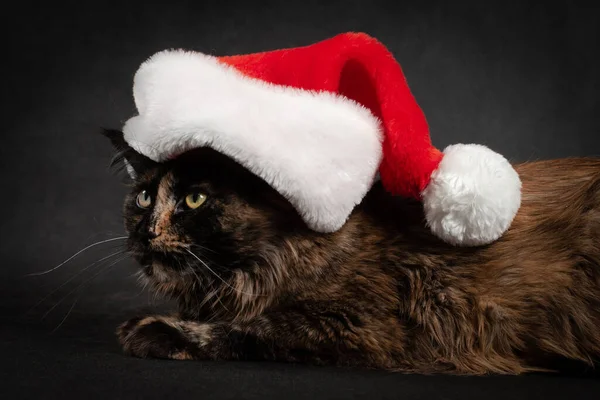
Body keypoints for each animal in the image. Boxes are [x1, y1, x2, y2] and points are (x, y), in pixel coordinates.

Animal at [103, 129, 600, 376]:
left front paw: (151, 330)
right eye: (143, 198)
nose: (146, 232)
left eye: (194, 199)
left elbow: (251, 328)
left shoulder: (364, 325)